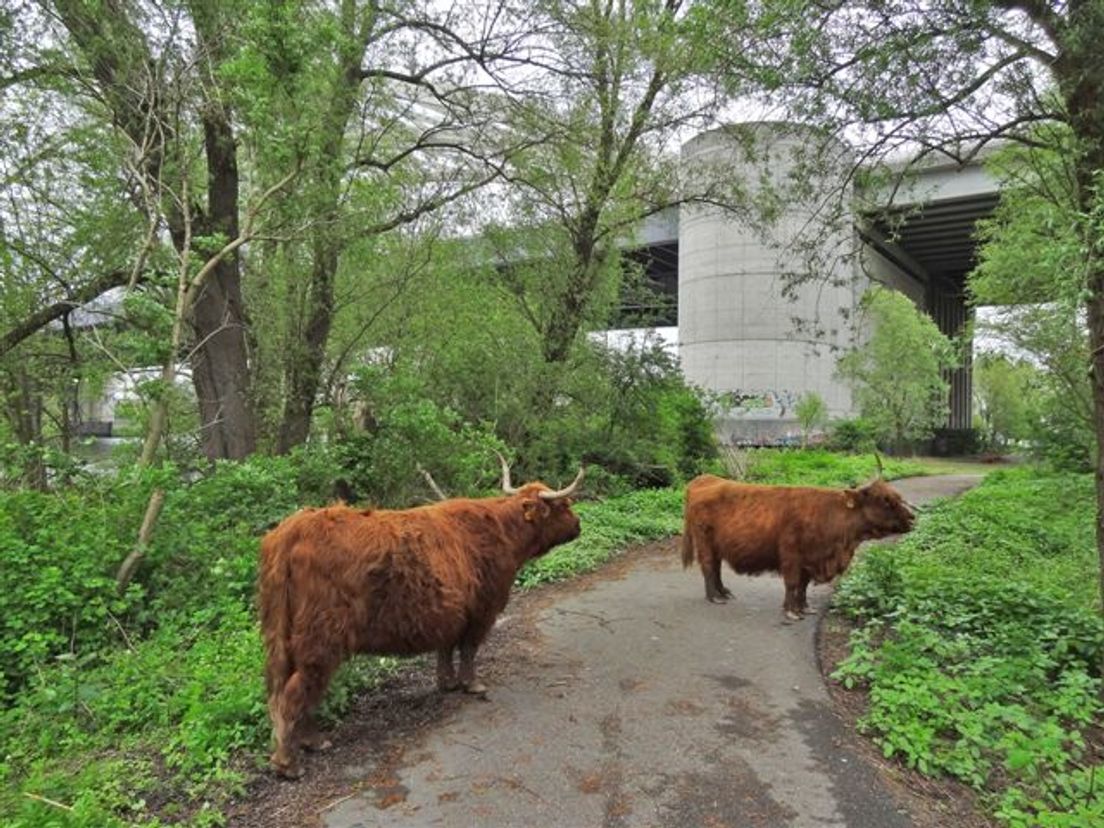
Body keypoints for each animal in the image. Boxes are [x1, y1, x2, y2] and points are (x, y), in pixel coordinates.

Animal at [259, 461, 587, 777]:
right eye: (563, 505)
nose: (579, 525)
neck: (503, 532)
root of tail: (294, 527)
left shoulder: (451, 614)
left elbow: (446, 650)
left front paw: (447, 683)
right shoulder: (482, 611)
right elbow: (469, 650)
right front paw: (471, 684)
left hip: (286, 640)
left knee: (293, 690)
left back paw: (311, 742)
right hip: (321, 639)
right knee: (294, 694)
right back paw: (289, 762)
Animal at [680, 476, 914, 618]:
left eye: (897, 497)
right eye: (885, 500)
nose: (912, 517)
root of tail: (705, 479)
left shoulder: (809, 560)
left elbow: (803, 586)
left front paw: (804, 608)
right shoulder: (791, 556)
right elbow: (792, 584)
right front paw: (791, 611)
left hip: (717, 545)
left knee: (716, 568)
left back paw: (723, 592)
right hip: (705, 542)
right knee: (708, 567)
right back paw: (715, 597)